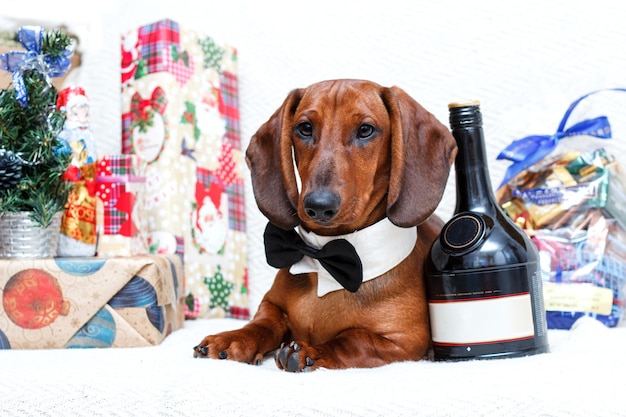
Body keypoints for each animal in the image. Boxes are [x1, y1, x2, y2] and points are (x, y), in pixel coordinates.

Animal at [193, 78, 456, 370]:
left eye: (366, 130)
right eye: (305, 128)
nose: (318, 205)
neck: (328, 258)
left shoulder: (403, 342)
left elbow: (354, 340)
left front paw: (311, 351)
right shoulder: (271, 305)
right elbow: (262, 324)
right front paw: (232, 339)